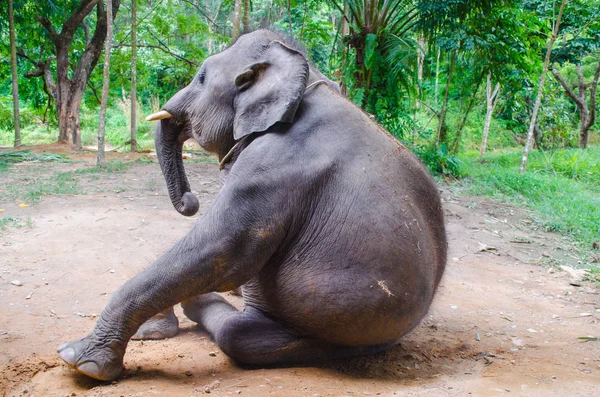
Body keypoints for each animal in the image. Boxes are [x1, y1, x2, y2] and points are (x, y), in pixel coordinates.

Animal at [57, 30, 446, 380]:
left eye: (201, 77)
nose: (190, 202)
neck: (306, 76)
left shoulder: (272, 167)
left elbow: (222, 251)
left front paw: (80, 362)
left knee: (240, 336)